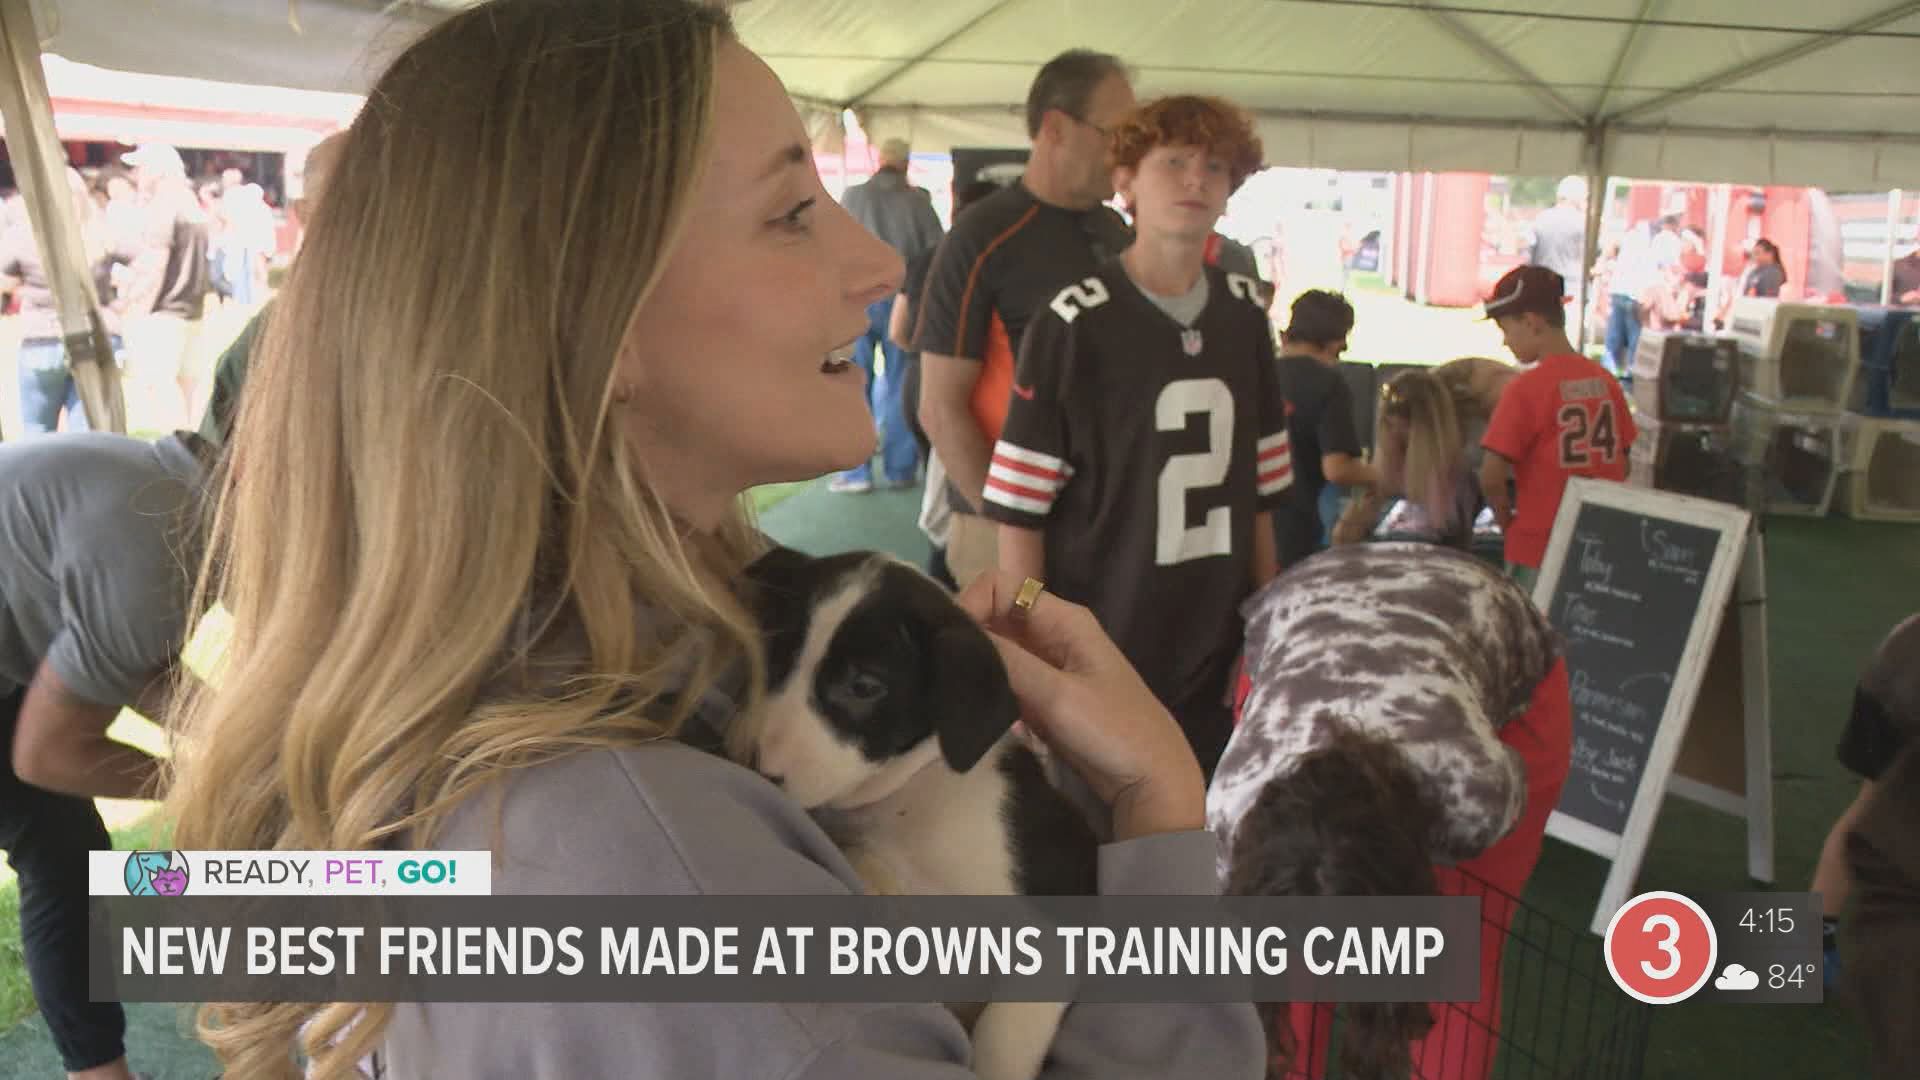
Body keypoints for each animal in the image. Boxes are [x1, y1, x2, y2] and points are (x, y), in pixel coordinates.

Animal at [729, 545, 1098, 1076]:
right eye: (772, 645)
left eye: (864, 686)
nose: (751, 763)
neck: (909, 800)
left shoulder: (1063, 899)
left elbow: (1004, 1038)